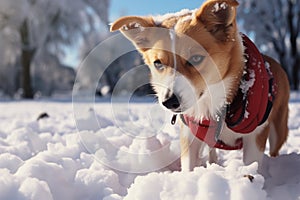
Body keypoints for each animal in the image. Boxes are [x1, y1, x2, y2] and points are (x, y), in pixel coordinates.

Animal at [111, 0, 290, 172]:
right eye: (158, 63)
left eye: (196, 58)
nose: (169, 102)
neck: (214, 105)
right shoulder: (190, 135)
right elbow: (188, 167)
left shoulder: (255, 136)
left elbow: (251, 167)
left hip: (278, 130)